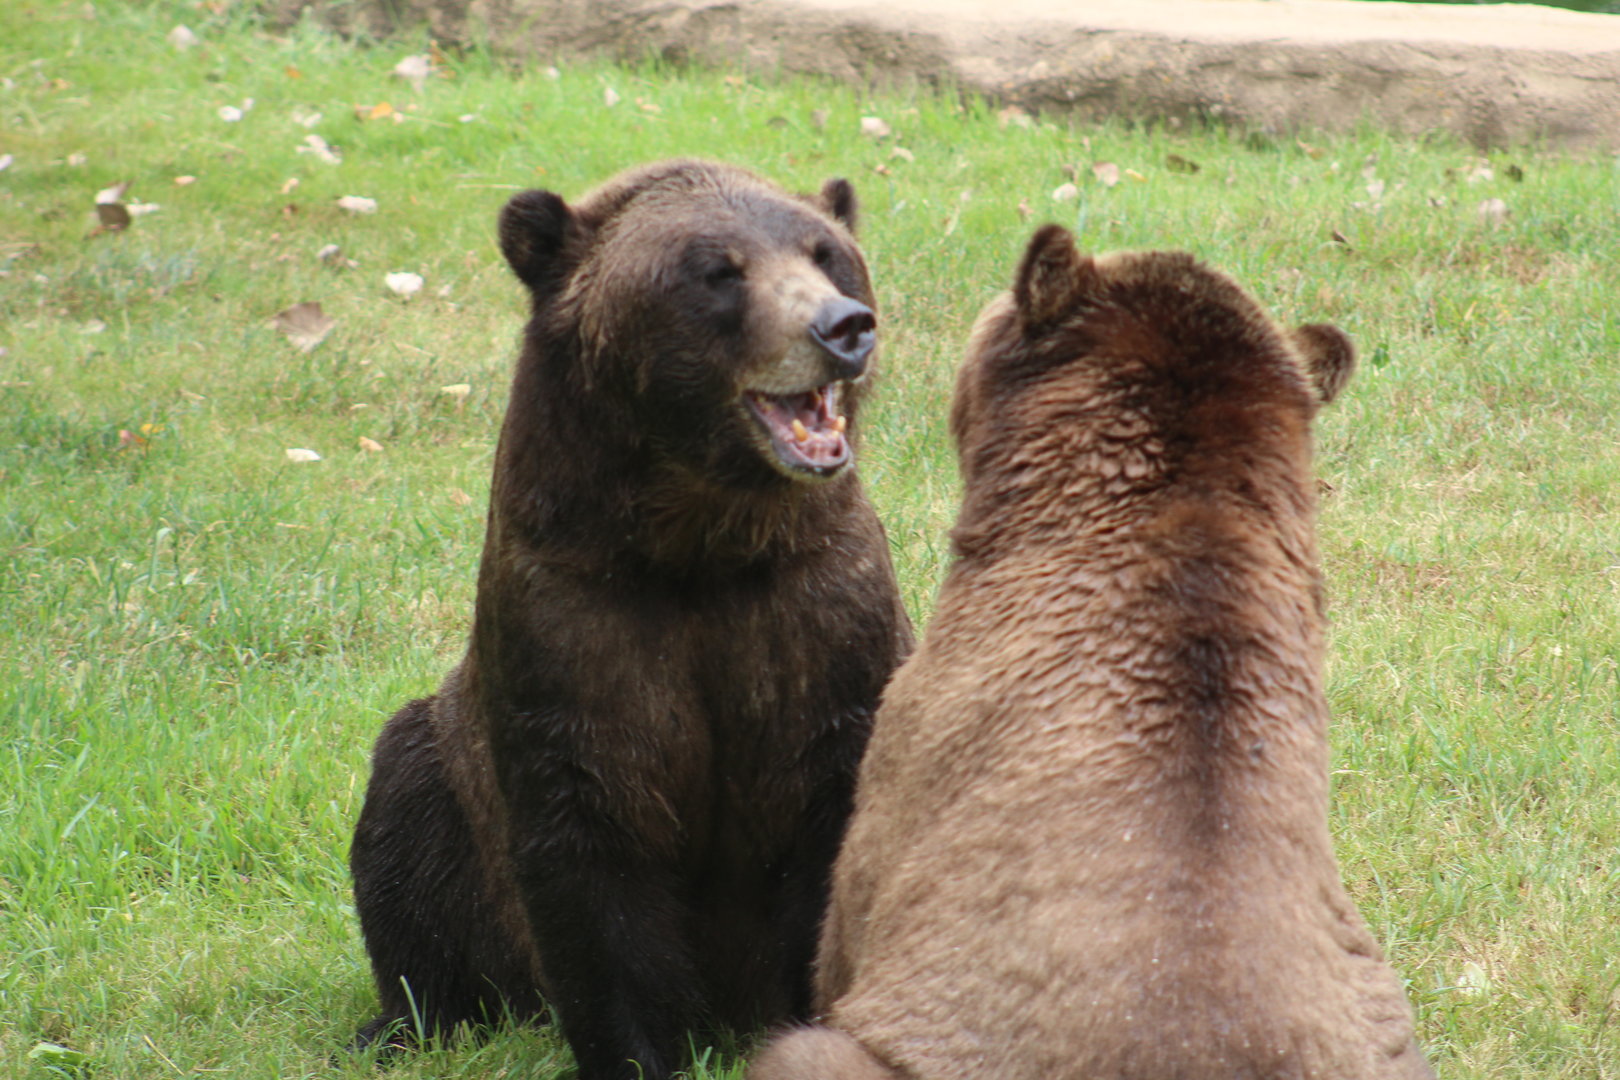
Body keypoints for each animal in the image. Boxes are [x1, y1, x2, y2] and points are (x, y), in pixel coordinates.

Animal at [348, 159, 914, 1080]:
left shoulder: (820, 612)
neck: (698, 545)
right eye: (716, 270)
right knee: (405, 833)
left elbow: (835, 819)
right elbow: (593, 853)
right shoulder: (573, 617)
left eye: (826, 253)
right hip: (452, 786)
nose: (843, 327)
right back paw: (406, 1020)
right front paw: (638, 1052)